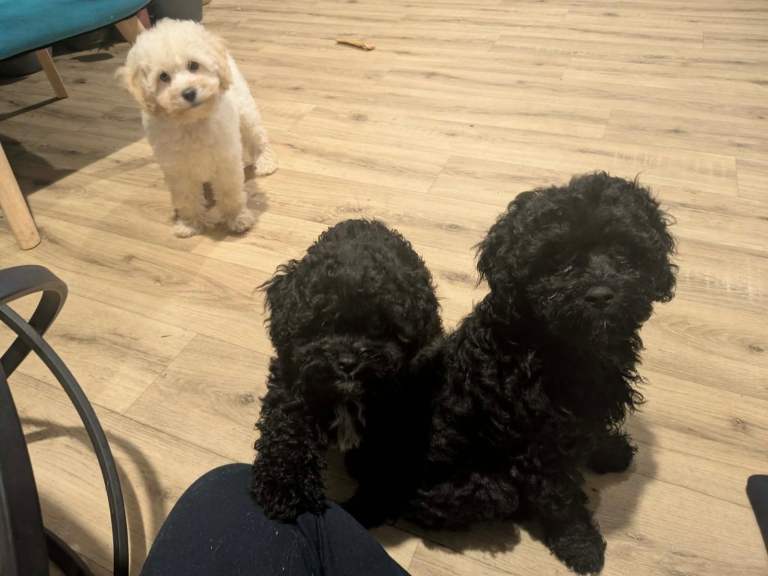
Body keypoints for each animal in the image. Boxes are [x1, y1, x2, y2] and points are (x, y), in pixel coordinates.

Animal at [117, 19, 277, 238]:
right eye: (163, 77)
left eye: (193, 65)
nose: (189, 93)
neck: (192, 122)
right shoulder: (177, 169)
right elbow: (186, 197)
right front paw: (189, 223)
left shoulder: (225, 160)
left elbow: (230, 192)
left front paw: (237, 217)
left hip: (245, 112)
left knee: (258, 136)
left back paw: (266, 162)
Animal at [251, 219, 443, 525]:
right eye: (323, 322)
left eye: (378, 326)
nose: (348, 362)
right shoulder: (293, 379)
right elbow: (287, 426)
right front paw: (283, 487)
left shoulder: (402, 401)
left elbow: (391, 454)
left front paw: (369, 502)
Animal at [405, 173, 677, 574]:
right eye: (558, 260)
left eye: (622, 249)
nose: (600, 295)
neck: (557, 344)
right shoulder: (541, 445)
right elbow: (561, 502)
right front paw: (581, 546)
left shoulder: (588, 408)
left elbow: (595, 432)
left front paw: (611, 451)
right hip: (487, 488)